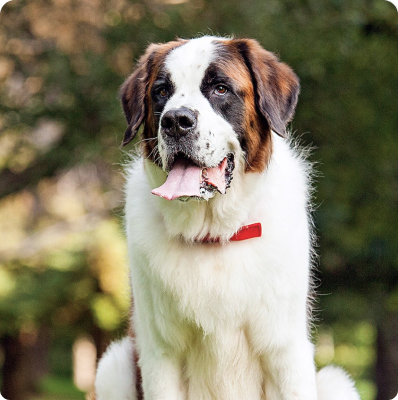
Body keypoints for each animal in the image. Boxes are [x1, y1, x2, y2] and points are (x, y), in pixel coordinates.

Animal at [93, 36, 360, 398]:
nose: (175, 121)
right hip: (114, 364)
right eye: (161, 91)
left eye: (220, 89)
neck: (215, 233)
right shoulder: (160, 353)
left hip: (335, 381)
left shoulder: (285, 351)